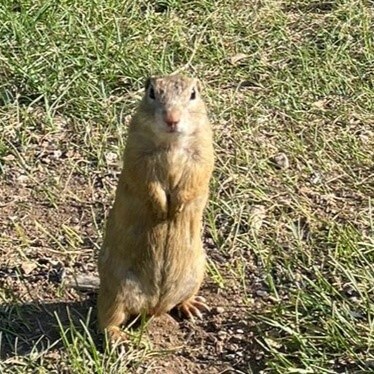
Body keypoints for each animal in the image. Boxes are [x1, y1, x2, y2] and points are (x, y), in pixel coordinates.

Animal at [98, 74, 215, 344]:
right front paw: (163, 209)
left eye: (193, 94)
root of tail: (154, 307)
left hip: (197, 272)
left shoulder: (204, 147)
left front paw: (177, 206)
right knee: (107, 320)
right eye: (151, 92)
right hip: (114, 289)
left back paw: (192, 306)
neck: (172, 144)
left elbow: (198, 174)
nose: (172, 119)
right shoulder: (136, 150)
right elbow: (146, 179)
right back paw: (118, 338)